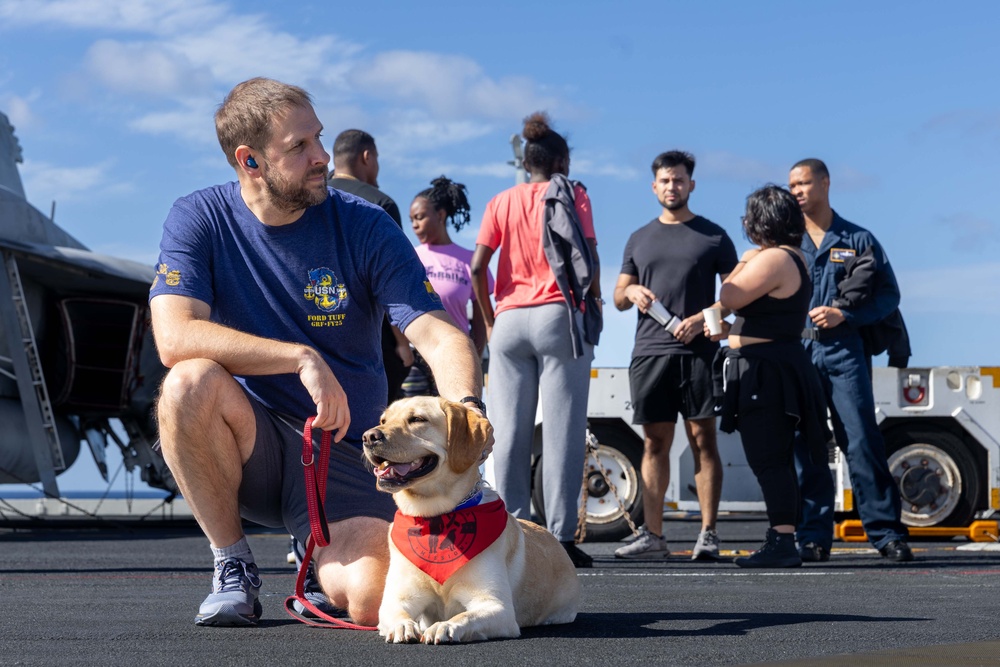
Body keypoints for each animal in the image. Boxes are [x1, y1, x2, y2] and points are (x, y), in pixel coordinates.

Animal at [360, 396, 580, 640]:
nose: (368, 436)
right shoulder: (396, 600)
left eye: (417, 419)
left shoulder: (497, 606)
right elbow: (397, 615)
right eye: (383, 420)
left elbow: (464, 617)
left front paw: (443, 626)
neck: (435, 516)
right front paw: (403, 626)